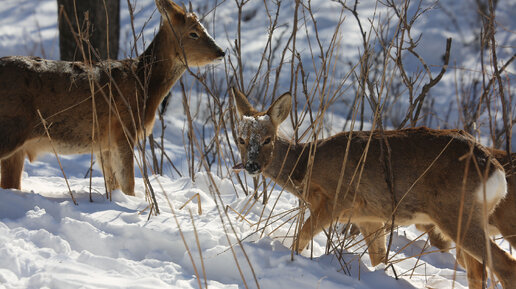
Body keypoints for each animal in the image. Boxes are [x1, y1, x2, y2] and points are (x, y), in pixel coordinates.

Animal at [0, 0, 226, 196]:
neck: (144, 84)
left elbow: (114, 185)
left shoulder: (103, 144)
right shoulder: (123, 128)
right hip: (11, 129)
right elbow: (129, 184)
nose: (221, 52)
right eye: (194, 33)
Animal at [232, 86, 516, 288]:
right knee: (478, 272)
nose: (252, 165)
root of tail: (493, 168)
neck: (306, 166)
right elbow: (380, 259)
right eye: (240, 139)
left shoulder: (337, 200)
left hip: (456, 213)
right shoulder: (368, 216)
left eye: (268, 139)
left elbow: (300, 238)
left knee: (504, 266)